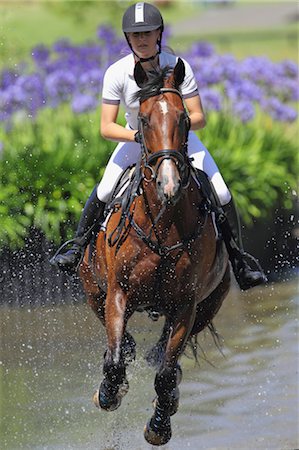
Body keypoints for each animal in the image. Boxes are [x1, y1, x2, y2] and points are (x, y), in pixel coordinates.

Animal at [79, 57, 232, 446]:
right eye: (144, 119)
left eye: (184, 118)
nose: (169, 185)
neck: (162, 223)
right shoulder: (117, 293)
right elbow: (116, 360)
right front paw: (108, 392)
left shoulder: (186, 306)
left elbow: (164, 371)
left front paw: (159, 426)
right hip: (92, 289)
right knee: (123, 344)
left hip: (212, 302)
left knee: (166, 360)